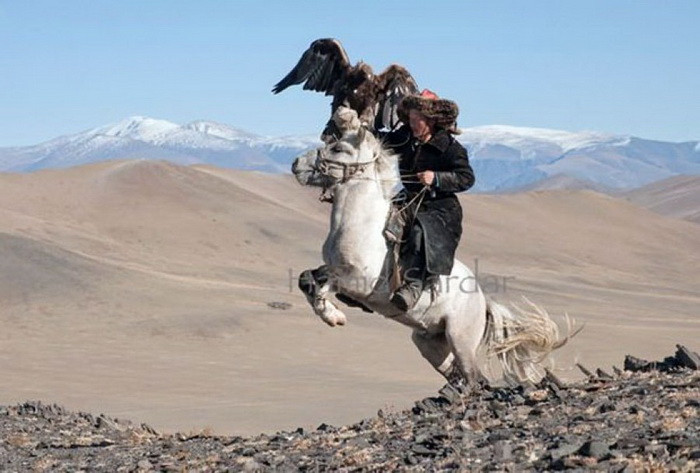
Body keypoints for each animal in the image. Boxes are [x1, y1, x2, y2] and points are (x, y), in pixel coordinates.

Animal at [290, 108, 568, 388]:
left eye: (338, 148)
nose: (295, 164)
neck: (362, 224)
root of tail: (482, 302)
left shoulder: (358, 281)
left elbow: (321, 278)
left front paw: (333, 316)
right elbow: (306, 278)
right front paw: (332, 314)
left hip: (460, 339)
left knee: (474, 378)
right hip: (429, 342)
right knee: (458, 374)